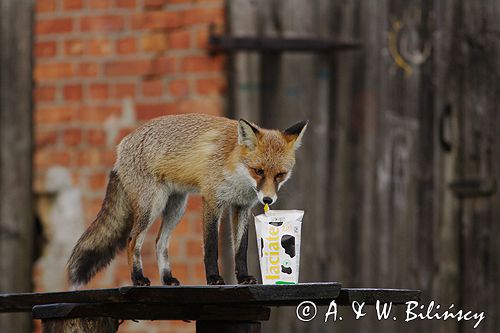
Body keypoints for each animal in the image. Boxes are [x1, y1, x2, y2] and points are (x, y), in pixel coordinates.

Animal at [68, 113, 306, 286]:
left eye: (280, 175)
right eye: (258, 171)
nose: (268, 199)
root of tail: (122, 144)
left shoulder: (241, 207)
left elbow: (241, 248)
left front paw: (243, 278)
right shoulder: (211, 201)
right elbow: (211, 246)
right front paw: (213, 278)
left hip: (176, 207)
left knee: (159, 242)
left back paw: (167, 278)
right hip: (152, 206)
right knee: (132, 240)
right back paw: (138, 278)